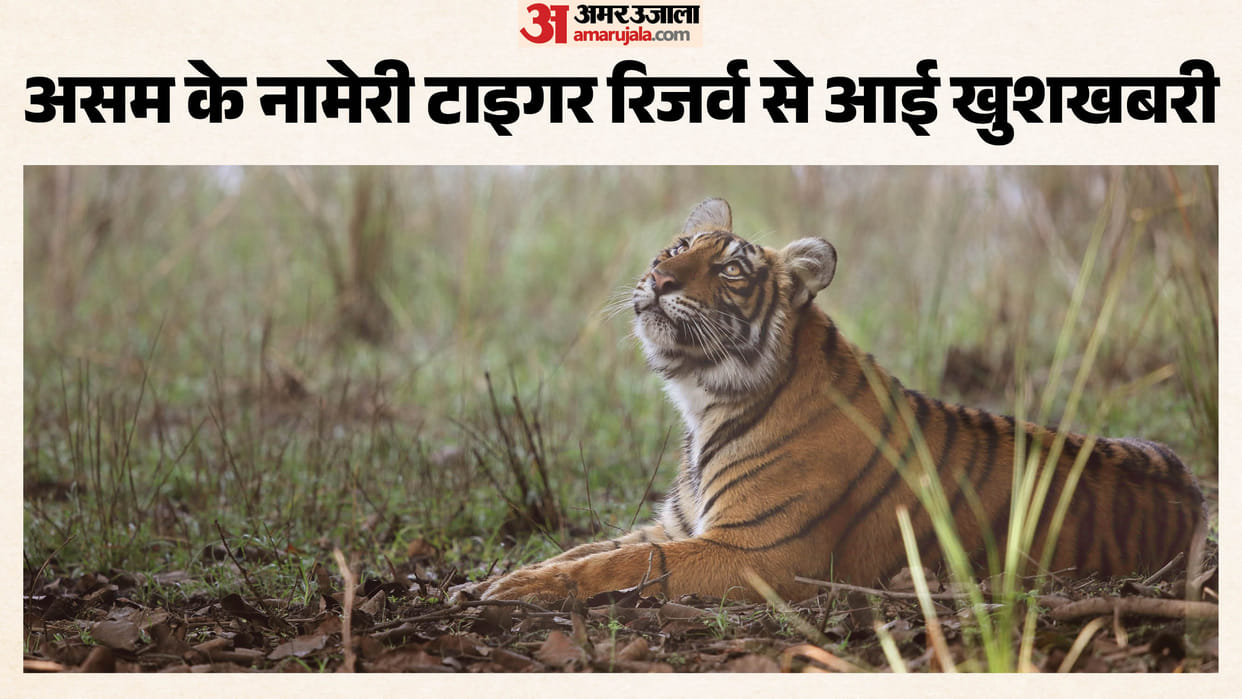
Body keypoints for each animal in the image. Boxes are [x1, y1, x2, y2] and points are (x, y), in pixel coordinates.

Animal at [482, 197, 1207, 604]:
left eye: (730, 269)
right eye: (678, 248)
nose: (660, 278)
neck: (702, 400)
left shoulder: (756, 553)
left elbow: (627, 562)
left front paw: (515, 589)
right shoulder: (679, 527)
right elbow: (586, 549)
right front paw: (494, 579)